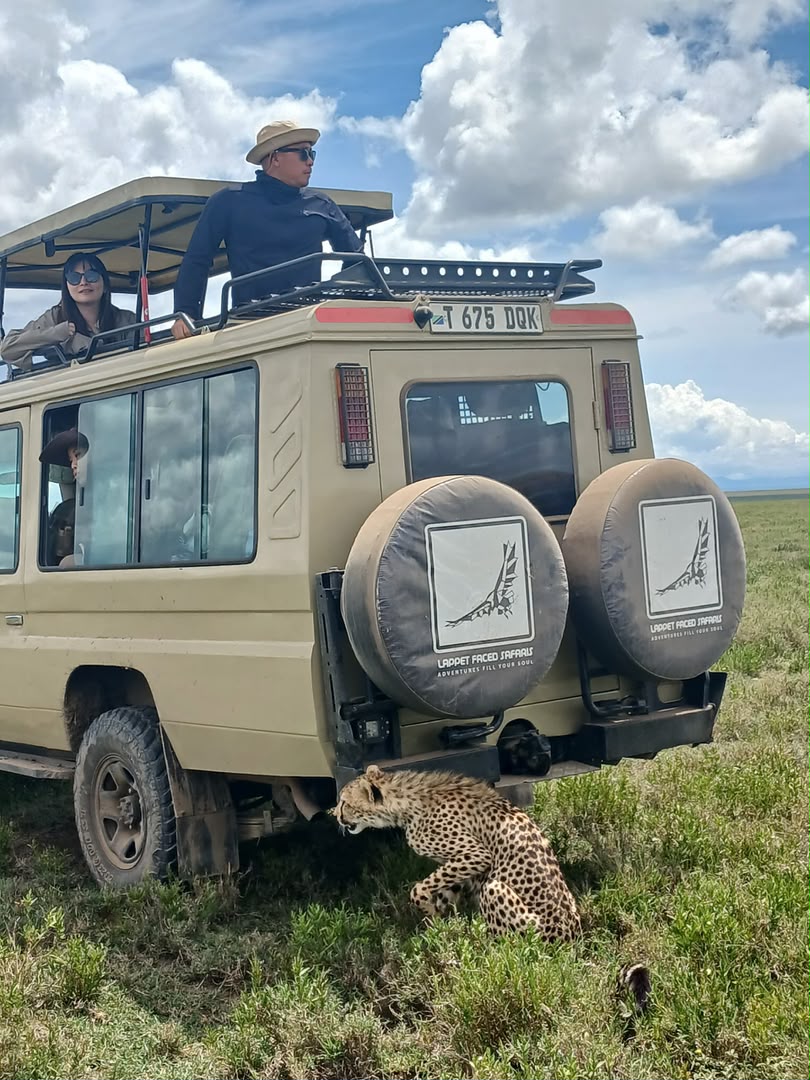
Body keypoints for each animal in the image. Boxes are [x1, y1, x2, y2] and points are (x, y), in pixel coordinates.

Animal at [332, 764, 650, 1014]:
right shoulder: (465, 869)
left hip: (499, 894)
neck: (406, 803)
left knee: (511, 951)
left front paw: (433, 920)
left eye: (345, 802)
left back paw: (480, 953)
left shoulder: (475, 856)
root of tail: (572, 943)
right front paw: (441, 928)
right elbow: (443, 894)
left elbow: (418, 890)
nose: (336, 816)